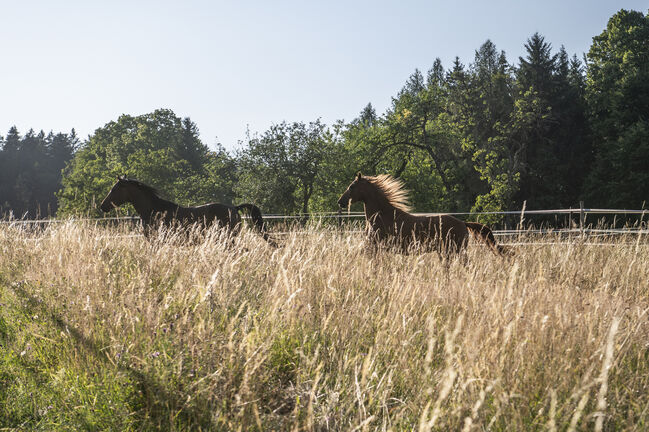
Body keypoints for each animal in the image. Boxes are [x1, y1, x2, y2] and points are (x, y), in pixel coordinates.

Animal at [336, 173, 508, 256]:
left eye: (352, 186)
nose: (340, 202)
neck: (383, 215)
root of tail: (463, 223)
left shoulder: (376, 246)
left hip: (455, 251)